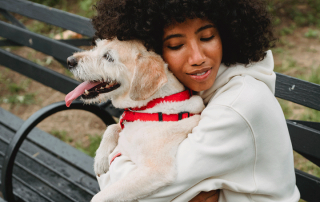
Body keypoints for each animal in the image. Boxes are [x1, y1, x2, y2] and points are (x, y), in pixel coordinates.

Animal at [65, 38, 205, 201]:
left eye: (108, 57)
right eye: (97, 46)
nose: (70, 61)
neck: (152, 106)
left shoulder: (155, 171)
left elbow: (99, 197)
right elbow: (111, 127)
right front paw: (100, 160)